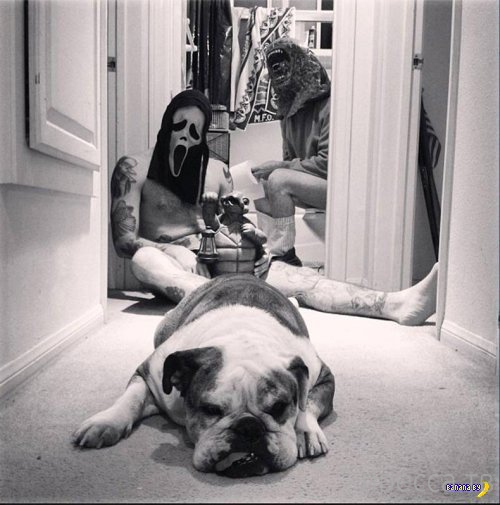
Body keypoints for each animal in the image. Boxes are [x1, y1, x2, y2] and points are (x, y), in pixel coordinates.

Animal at [72, 274, 335, 477]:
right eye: (210, 410)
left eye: (279, 407)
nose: (249, 427)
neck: (241, 337)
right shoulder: (149, 374)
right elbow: (131, 398)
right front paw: (106, 422)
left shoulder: (322, 374)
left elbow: (308, 401)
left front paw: (305, 431)